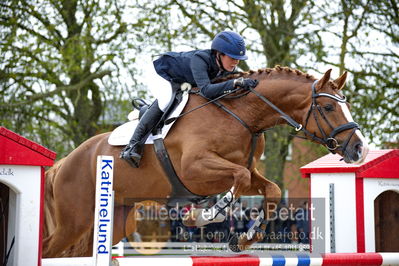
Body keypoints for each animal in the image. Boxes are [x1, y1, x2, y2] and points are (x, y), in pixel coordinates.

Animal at [42, 66, 370, 258]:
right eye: (328, 107)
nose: (360, 149)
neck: (242, 115)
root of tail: (63, 163)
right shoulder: (195, 169)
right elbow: (235, 183)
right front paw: (202, 215)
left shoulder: (249, 170)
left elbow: (271, 190)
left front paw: (244, 239)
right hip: (75, 220)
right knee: (49, 249)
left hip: (117, 219)